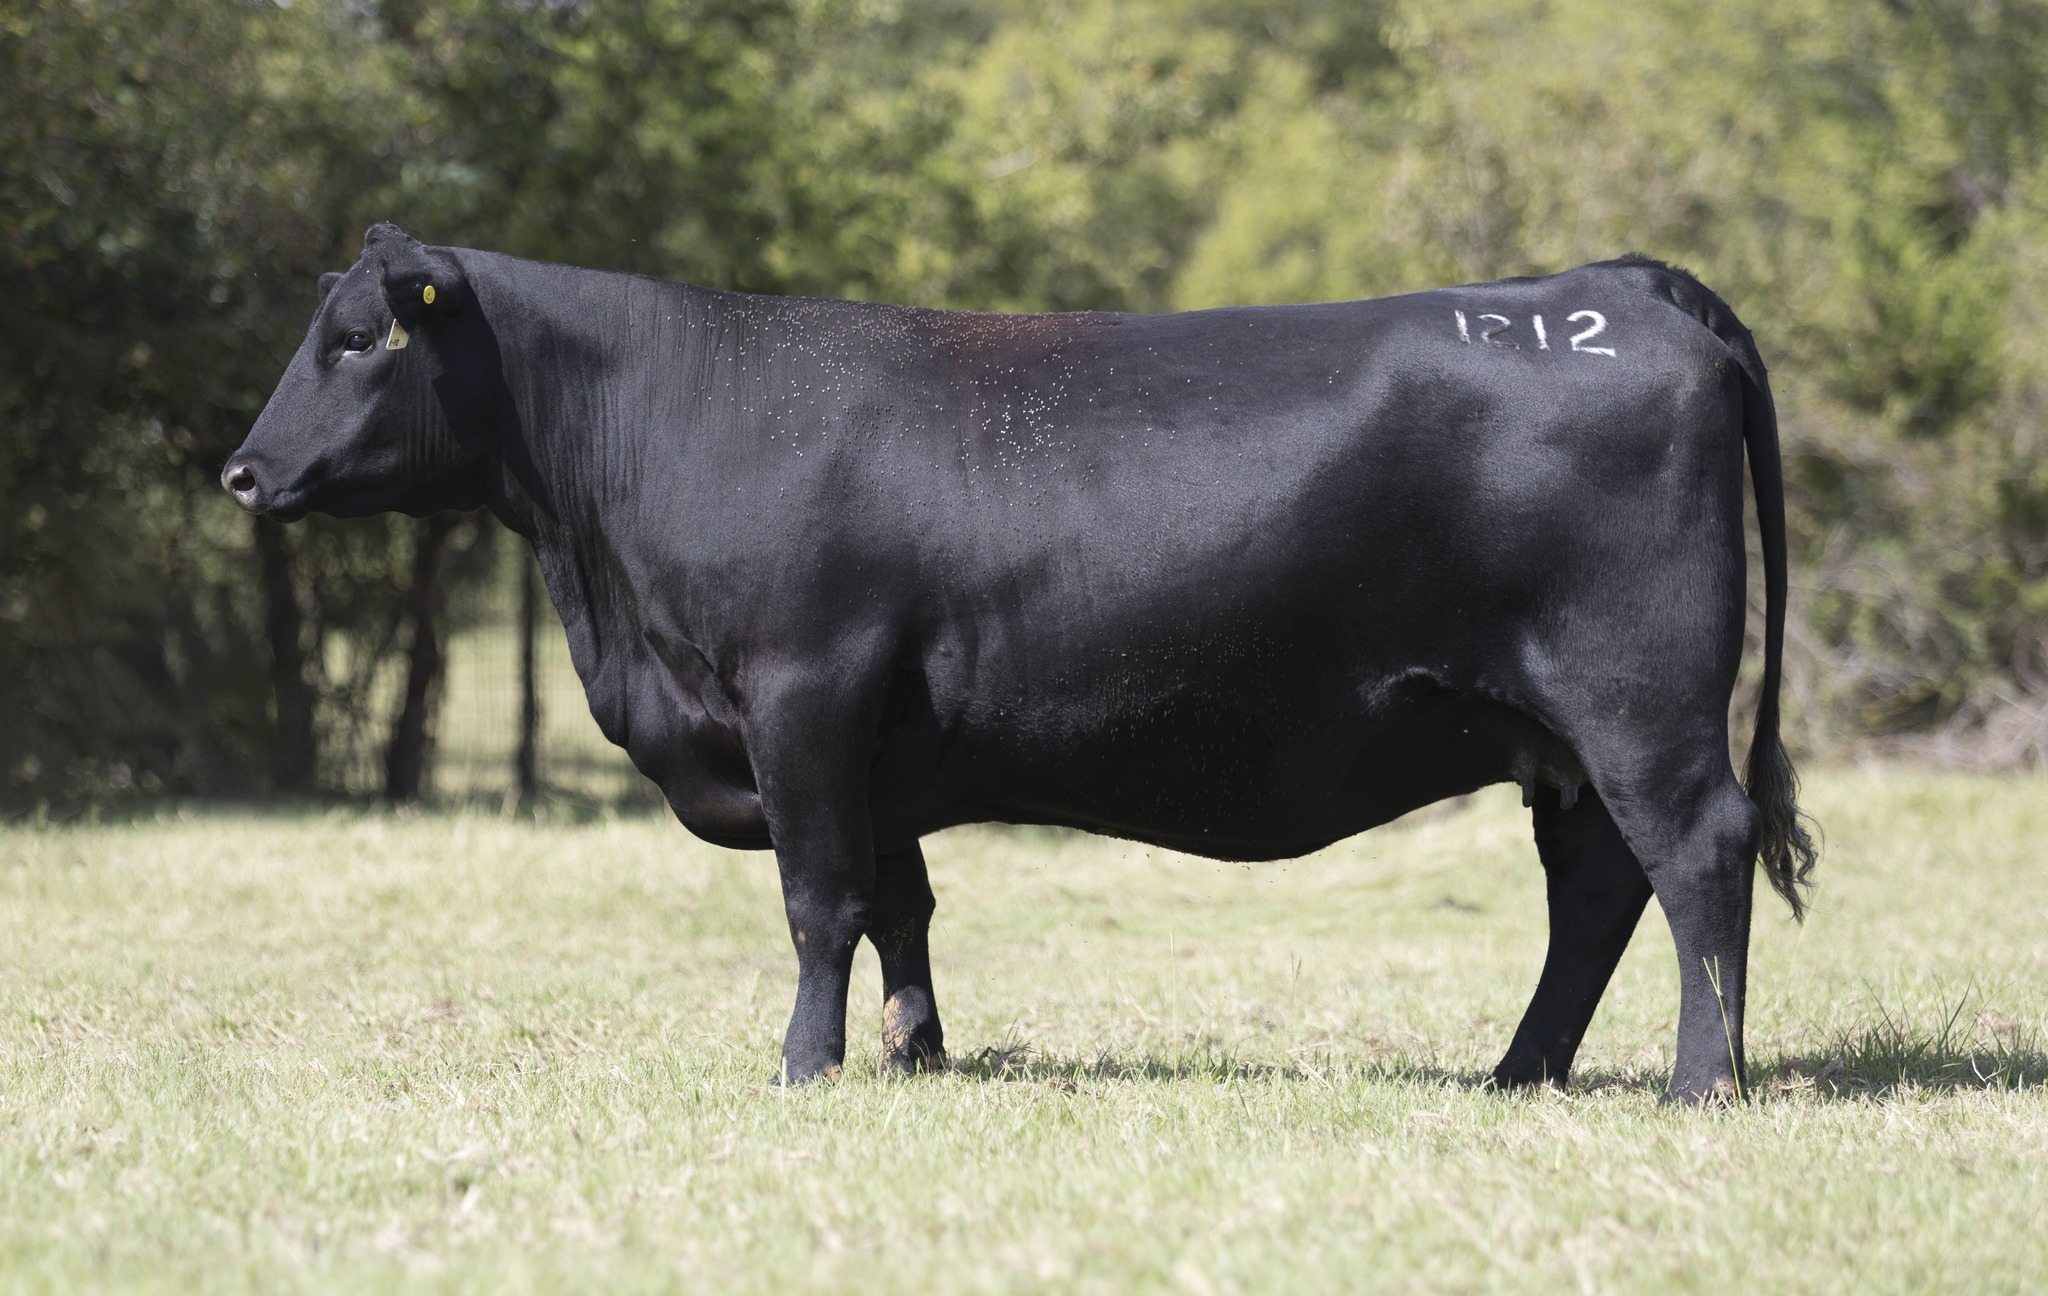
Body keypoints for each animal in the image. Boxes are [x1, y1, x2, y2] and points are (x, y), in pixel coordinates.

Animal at [224, 223, 1817, 1103]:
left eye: (358, 338)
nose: (240, 472)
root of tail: (1611, 286)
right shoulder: (870, 749)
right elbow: (901, 902)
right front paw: (917, 1054)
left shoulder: (802, 695)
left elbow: (818, 901)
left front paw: (805, 1067)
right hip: (1555, 733)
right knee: (1596, 888)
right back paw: (1518, 1073)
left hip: (1637, 702)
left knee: (1696, 852)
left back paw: (1700, 1085)